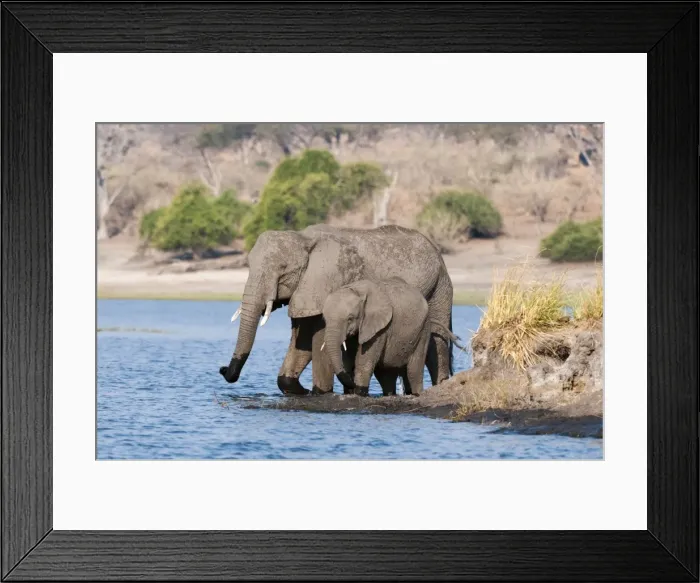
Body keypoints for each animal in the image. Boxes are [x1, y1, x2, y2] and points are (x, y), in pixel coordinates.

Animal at [219, 225, 454, 395]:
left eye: (283, 270)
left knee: (436, 342)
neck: (303, 238)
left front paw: (319, 392)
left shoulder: (329, 282)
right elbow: (302, 339)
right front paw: (298, 389)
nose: (223, 370)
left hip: (439, 287)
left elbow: (318, 338)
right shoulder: (306, 290)